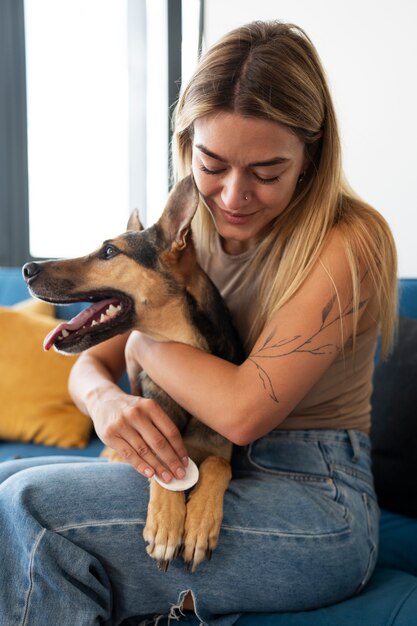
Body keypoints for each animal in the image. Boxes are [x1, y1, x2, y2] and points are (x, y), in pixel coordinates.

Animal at [22, 174, 244, 572]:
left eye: (110, 252)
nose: (27, 270)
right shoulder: (132, 448)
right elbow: (162, 467)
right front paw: (168, 521)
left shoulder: (220, 448)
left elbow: (219, 462)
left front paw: (200, 521)